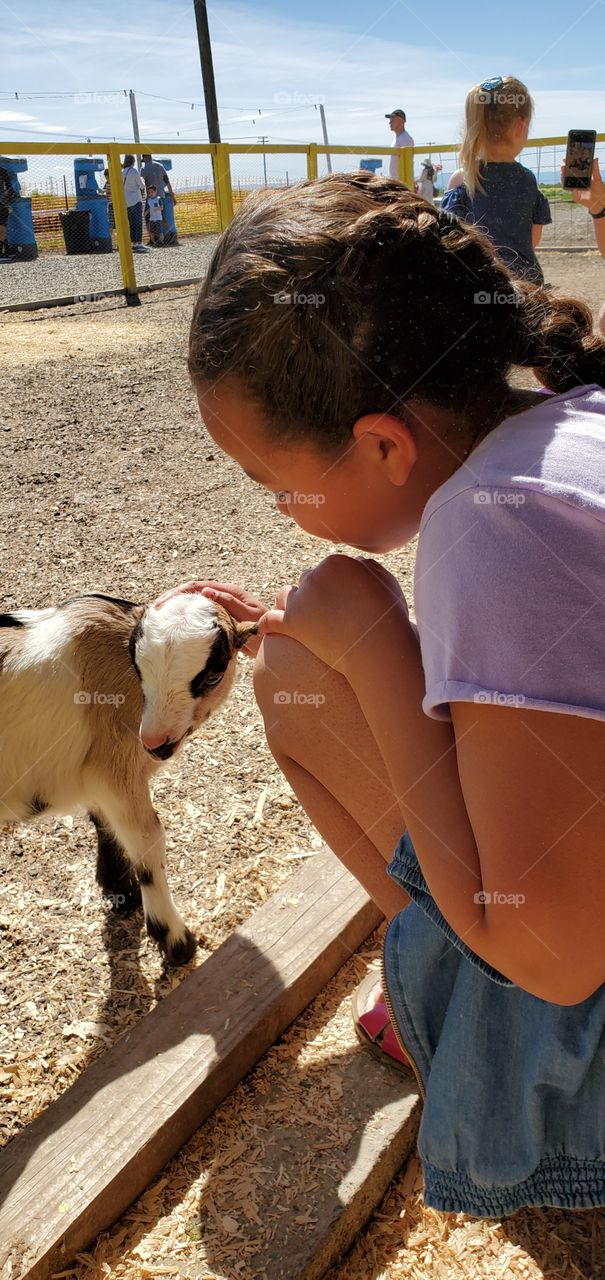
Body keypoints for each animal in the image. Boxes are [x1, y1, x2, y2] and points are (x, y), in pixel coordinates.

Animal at [0, 593, 254, 962]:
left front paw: (120, 890)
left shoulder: (99, 775)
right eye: (139, 669)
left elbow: (104, 823)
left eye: (212, 676)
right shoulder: (115, 774)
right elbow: (148, 840)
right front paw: (174, 940)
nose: (155, 742)